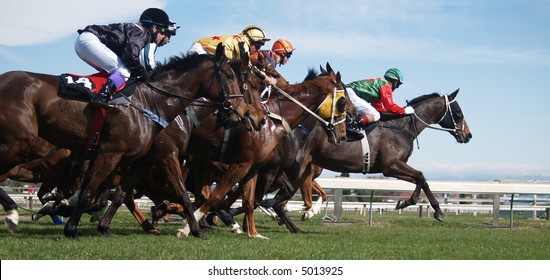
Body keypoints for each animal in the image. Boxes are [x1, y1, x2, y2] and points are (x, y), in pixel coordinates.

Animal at [0, 43, 262, 238]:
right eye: (231, 76)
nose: (250, 116)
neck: (152, 103)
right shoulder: (119, 153)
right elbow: (90, 193)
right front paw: (71, 228)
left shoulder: (140, 160)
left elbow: (122, 194)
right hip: (20, 143)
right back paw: (18, 213)